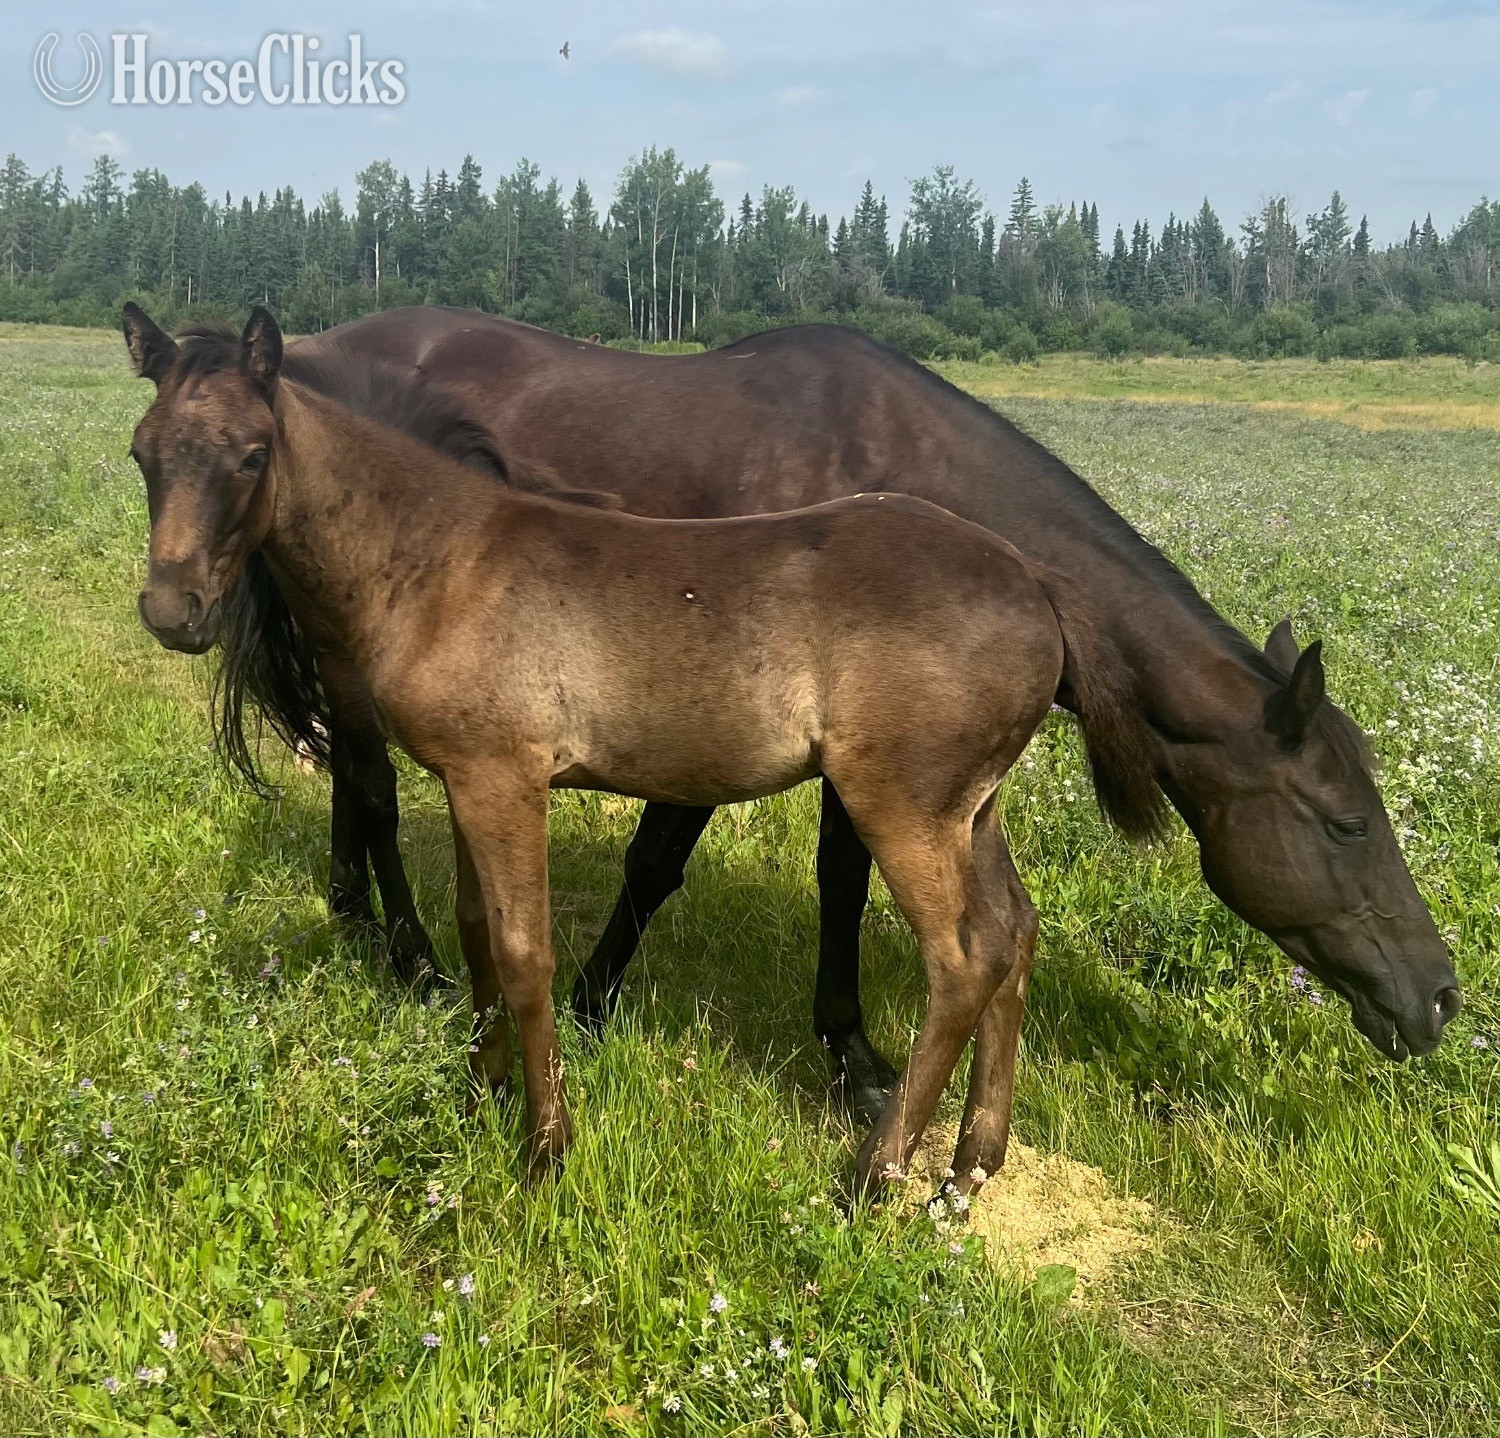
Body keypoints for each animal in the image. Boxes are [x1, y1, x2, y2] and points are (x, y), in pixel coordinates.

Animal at [122, 302, 1167, 1194]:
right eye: (141, 453)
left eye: (252, 455)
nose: (173, 610)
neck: (445, 558)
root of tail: (1035, 580)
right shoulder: (467, 777)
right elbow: (475, 931)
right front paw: (480, 1090)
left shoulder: (507, 778)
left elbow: (524, 951)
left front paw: (545, 1148)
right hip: (969, 808)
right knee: (1015, 930)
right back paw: (972, 1162)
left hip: (902, 806)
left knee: (962, 958)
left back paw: (875, 1173)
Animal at [212, 307, 1460, 1110]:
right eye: (1347, 820)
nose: (1439, 996)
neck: (899, 470)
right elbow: (657, 865)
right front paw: (593, 1002)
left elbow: (842, 882)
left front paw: (850, 1050)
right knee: (369, 784)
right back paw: (403, 951)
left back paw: (356, 915)